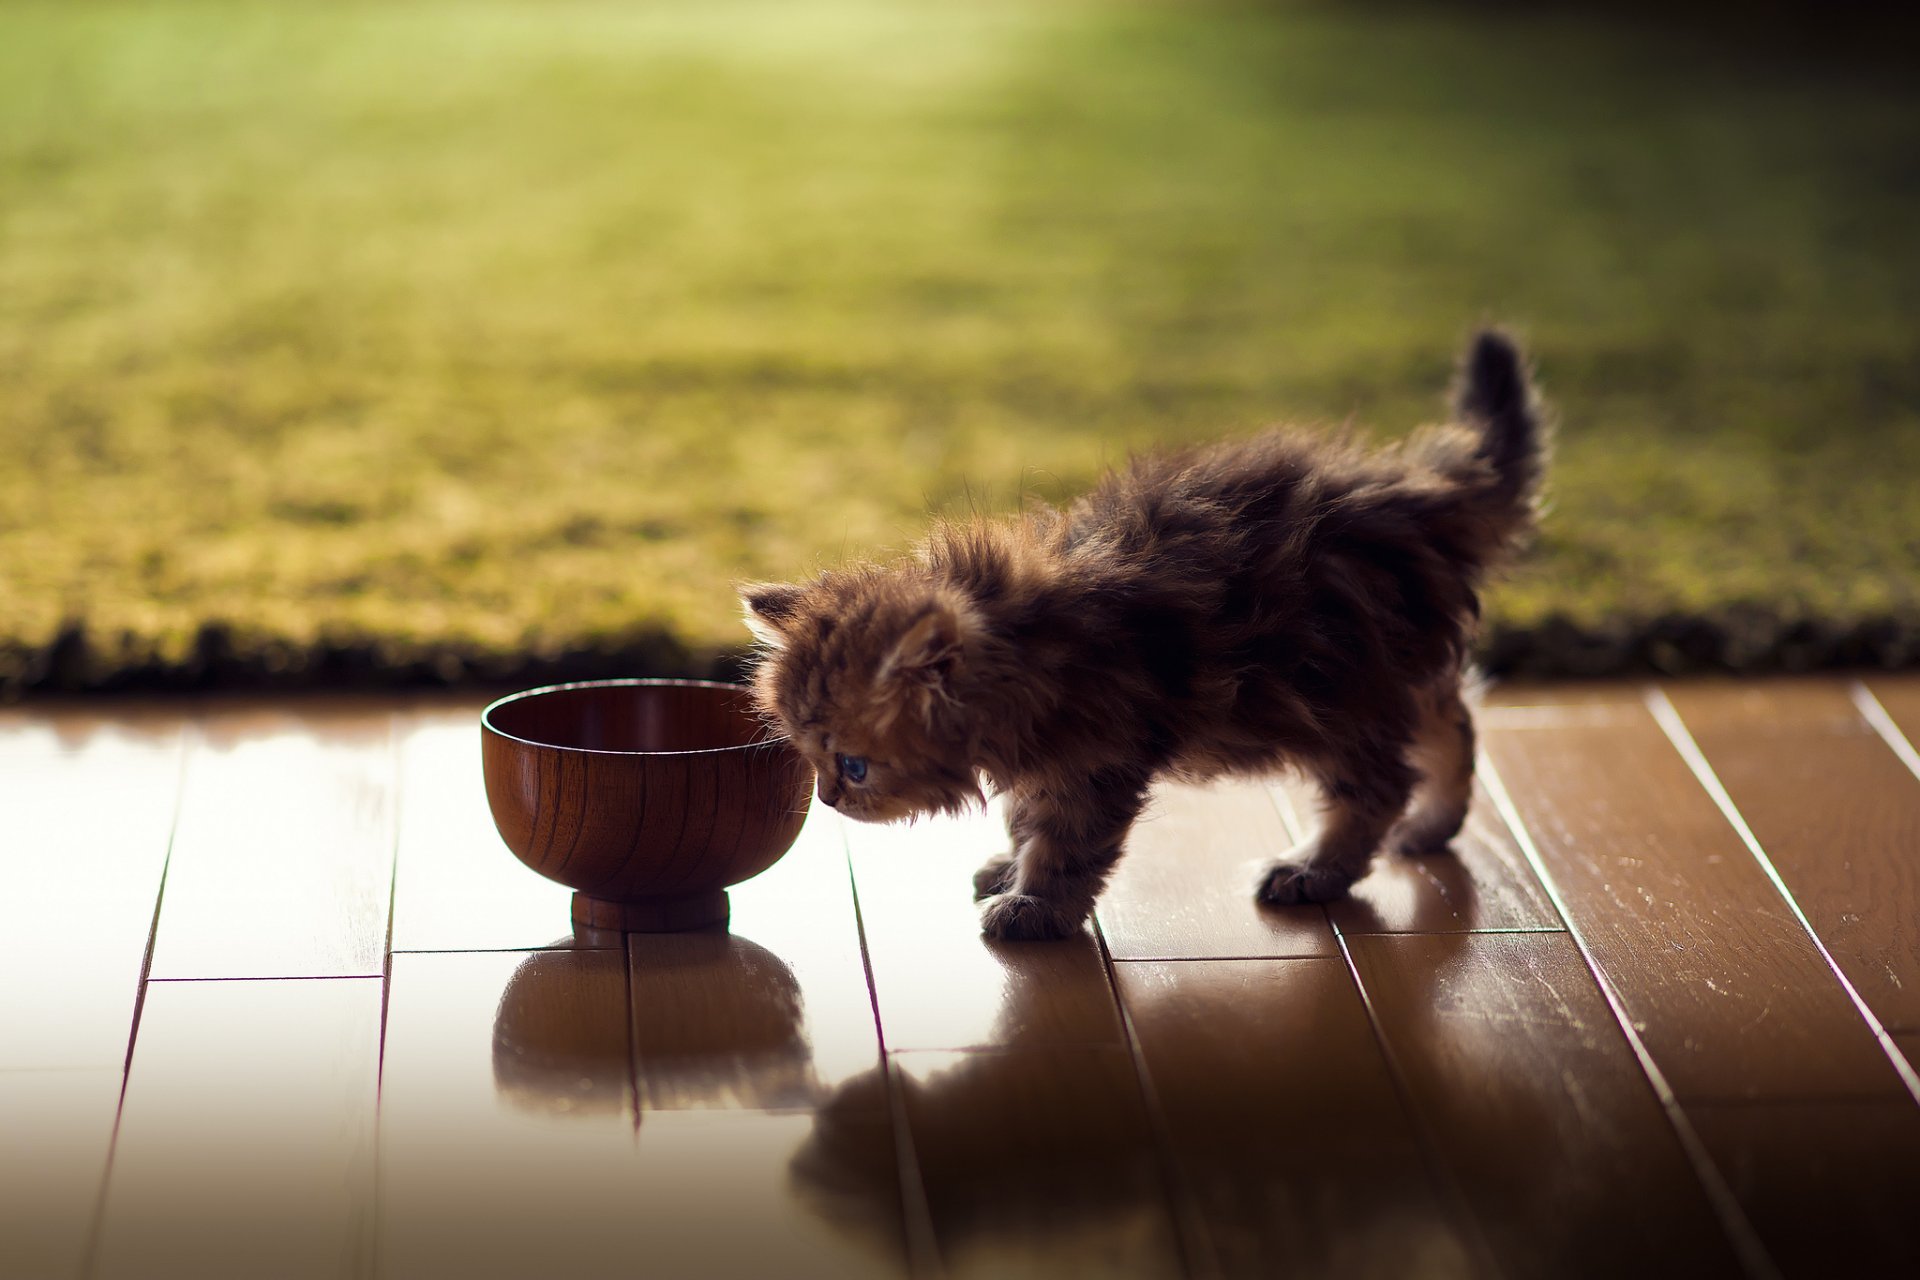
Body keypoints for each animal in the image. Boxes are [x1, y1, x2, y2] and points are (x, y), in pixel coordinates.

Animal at [733, 333, 1543, 940]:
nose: (829, 798)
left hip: (1336, 692)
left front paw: (1035, 907)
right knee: (1452, 716)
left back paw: (1314, 869)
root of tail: (1417, 492)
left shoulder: (1096, 759)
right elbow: (1025, 818)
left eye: (855, 765)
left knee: (1377, 784)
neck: (1019, 645)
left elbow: (1065, 844)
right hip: (1384, 672)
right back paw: (1434, 824)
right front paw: (1009, 865)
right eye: (810, 757)